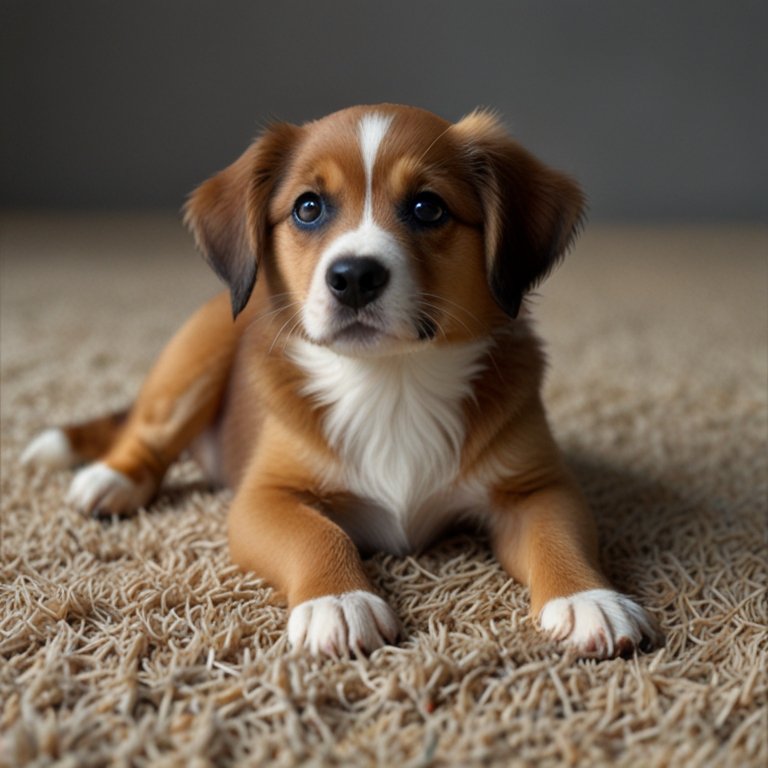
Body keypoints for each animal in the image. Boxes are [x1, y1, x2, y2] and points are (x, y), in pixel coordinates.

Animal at [24, 105, 660, 656]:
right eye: (308, 207)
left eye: (428, 207)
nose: (353, 276)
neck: (391, 383)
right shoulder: (265, 497)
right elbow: (317, 534)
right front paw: (339, 598)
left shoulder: (537, 487)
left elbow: (559, 536)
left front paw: (586, 597)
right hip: (197, 353)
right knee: (148, 433)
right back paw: (112, 478)